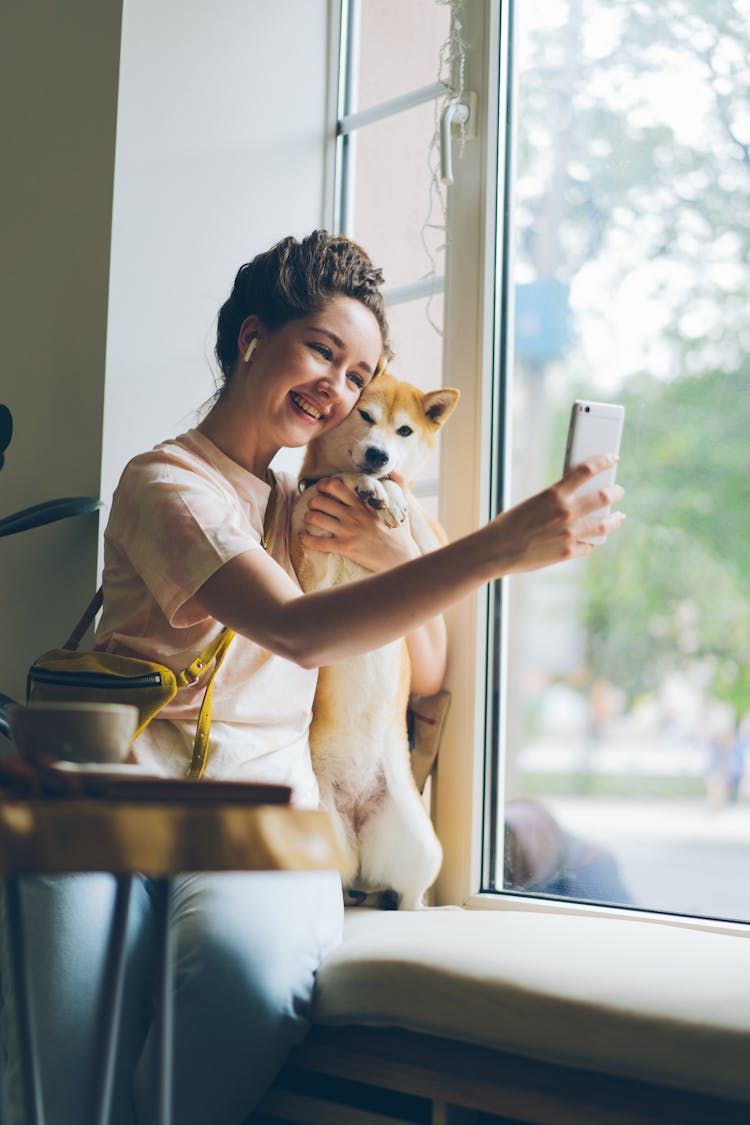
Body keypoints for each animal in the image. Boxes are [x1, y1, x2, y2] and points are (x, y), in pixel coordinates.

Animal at [292, 373, 458, 909]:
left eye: (404, 431)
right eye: (364, 415)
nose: (378, 456)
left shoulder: (428, 552)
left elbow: (418, 519)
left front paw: (394, 495)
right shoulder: (312, 581)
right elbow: (333, 481)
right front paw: (364, 485)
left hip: (423, 846)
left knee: (410, 893)